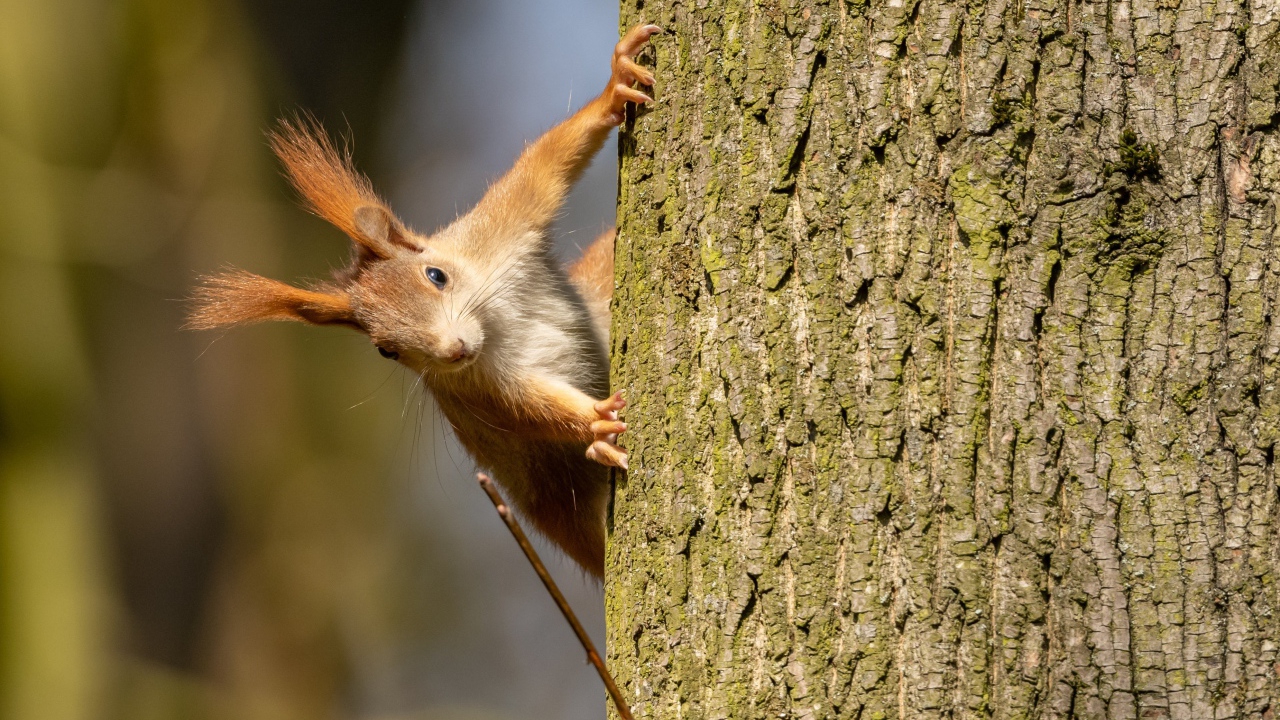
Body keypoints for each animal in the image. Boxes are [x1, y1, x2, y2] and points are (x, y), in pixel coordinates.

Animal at [189, 23, 660, 571]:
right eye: (385, 350)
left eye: (437, 275)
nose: (453, 350)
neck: (494, 324)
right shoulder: (475, 392)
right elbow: (530, 411)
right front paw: (595, 422)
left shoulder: (498, 229)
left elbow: (544, 167)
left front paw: (616, 83)